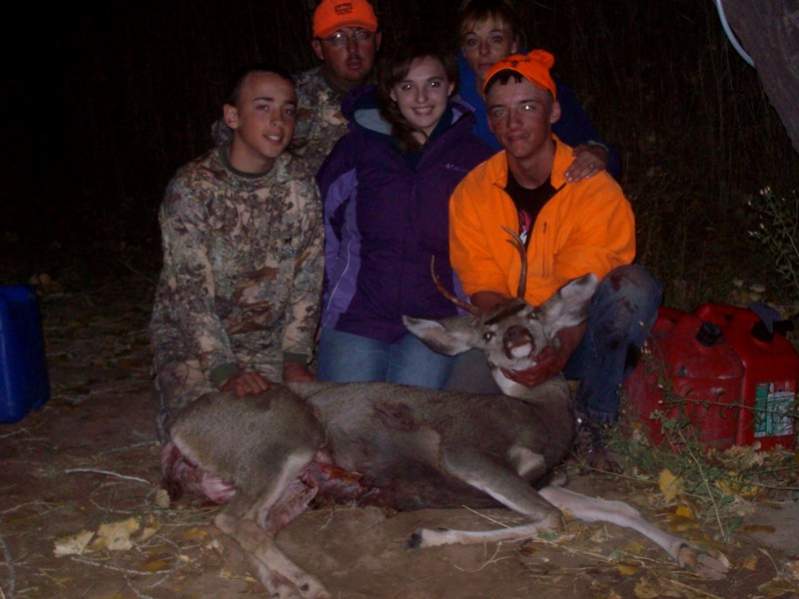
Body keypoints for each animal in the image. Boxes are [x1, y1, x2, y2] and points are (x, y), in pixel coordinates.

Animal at [161, 232, 732, 596]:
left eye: (532, 314)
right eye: (487, 331)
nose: (516, 337)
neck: (538, 417)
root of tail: (180, 428)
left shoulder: (543, 478)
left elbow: (619, 507)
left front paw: (700, 555)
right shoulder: (467, 452)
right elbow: (552, 519)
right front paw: (428, 535)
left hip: (295, 483)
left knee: (245, 527)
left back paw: (285, 585)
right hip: (283, 440)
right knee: (234, 520)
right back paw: (308, 583)